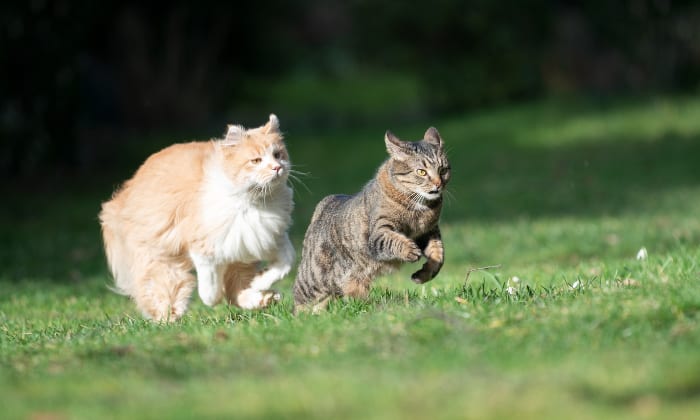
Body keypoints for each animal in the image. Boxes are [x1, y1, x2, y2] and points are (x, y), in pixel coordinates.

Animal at [100, 113, 294, 320]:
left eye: (278, 155)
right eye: (256, 161)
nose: (277, 168)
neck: (255, 201)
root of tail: (127, 189)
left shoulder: (266, 238)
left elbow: (286, 263)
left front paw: (260, 282)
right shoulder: (203, 247)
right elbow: (209, 290)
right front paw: (215, 298)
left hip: (238, 259)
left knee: (237, 291)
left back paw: (263, 297)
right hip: (162, 260)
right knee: (161, 292)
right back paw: (169, 317)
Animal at [292, 126, 452, 314]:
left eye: (443, 170)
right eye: (421, 172)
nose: (438, 184)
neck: (421, 209)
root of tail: (321, 207)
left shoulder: (429, 231)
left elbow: (439, 255)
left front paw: (423, 274)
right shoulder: (379, 233)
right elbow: (394, 240)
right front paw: (409, 250)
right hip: (313, 281)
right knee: (298, 300)